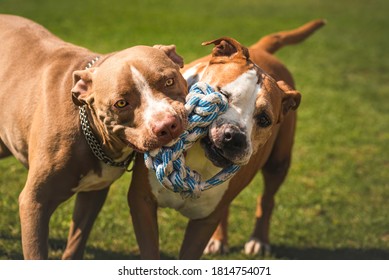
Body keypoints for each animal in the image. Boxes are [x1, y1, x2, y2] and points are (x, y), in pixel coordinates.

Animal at [0, 14, 188, 260]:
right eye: (121, 103)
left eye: (169, 81)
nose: (167, 125)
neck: (89, 129)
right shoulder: (35, 203)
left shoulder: (94, 193)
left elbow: (75, 244)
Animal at [128, 20, 324, 260]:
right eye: (222, 94)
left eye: (264, 119)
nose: (234, 137)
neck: (197, 158)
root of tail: (261, 49)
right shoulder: (142, 201)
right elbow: (150, 249)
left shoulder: (204, 223)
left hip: (278, 162)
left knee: (267, 199)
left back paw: (258, 240)